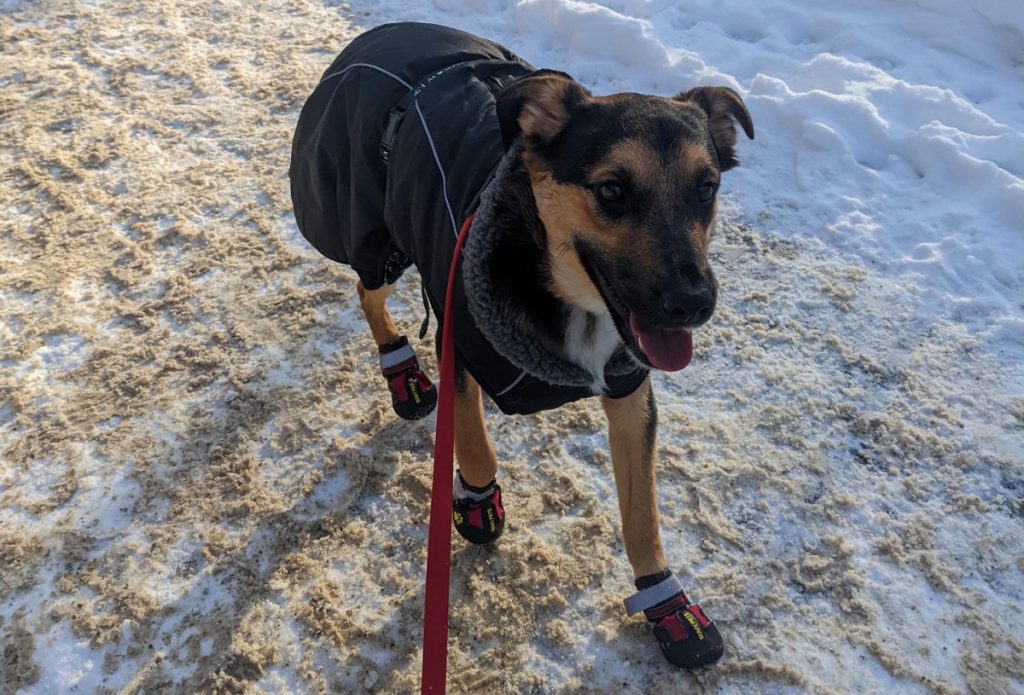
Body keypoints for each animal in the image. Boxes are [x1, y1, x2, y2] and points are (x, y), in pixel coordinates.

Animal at [288, 21, 753, 671]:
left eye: (705, 189)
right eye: (612, 190)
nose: (694, 302)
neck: (564, 291)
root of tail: (382, 32)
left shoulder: (630, 385)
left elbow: (642, 513)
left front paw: (668, 605)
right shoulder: (459, 341)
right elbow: (475, 445)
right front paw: (478, 504)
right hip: (371, 232)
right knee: (366, 288)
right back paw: (401, 371)